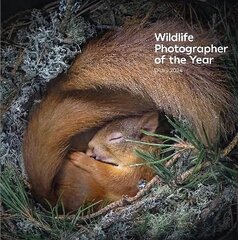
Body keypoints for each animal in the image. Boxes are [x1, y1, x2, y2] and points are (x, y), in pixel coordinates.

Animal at [23, 20, 237, 212]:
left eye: (116, 137)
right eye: (102, 127)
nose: (90, 148)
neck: (145, 152)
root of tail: (50, 200)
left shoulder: (139, 173)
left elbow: (114, 179)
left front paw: (81, 159)